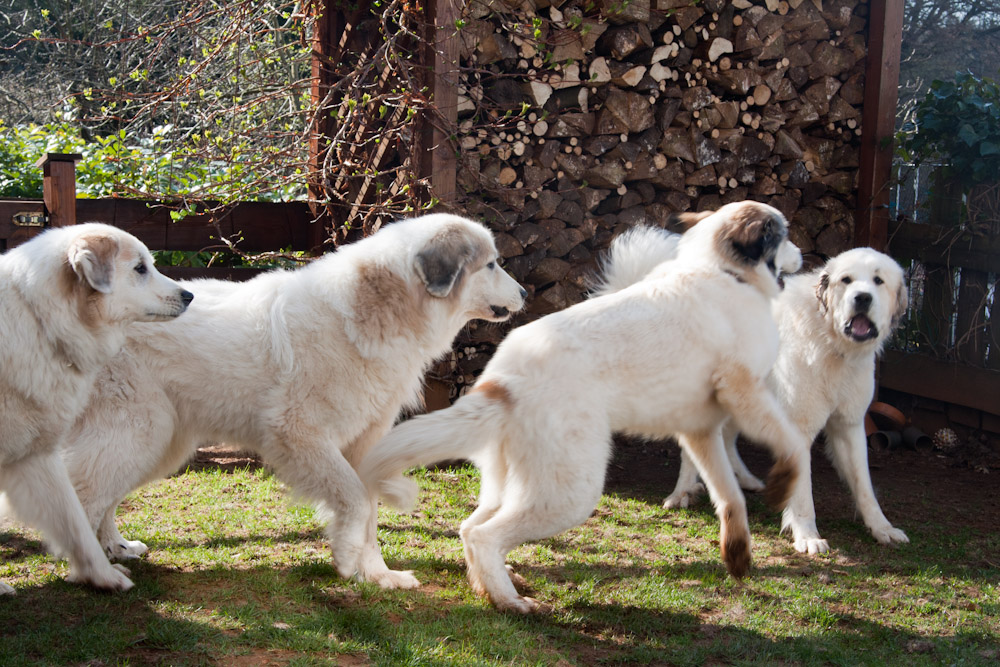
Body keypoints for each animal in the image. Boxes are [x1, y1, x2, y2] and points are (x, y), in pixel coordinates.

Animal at [0, 224, 193, 596]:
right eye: (140, 268)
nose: (189, 295)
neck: (38, 319)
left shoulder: (36, 454)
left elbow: (73, 522)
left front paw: (101, 575)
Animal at [360, 201, 812, 612]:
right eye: (785, 234)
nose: (803, 255)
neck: (724, 271)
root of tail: (503, 379)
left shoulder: (701, 428)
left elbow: (729, 494)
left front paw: (737, 552)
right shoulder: (744, 391)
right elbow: (793, 446)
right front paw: (782, 487)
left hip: (510, 482)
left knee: (471, 526)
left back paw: (496, 587)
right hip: (571, 491)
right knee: (483, 535)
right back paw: (510, 602)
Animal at [596, 227, 912, 556]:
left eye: (878, 281)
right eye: (846, 280)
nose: (862, 298)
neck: (832, 343)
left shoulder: (849, 425)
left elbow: (865, 486)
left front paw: (882, 528)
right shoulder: (800, 430)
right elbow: (804, 492)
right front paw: (807, 534)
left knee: (725, 439)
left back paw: (744, 480)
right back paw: (681, 492)